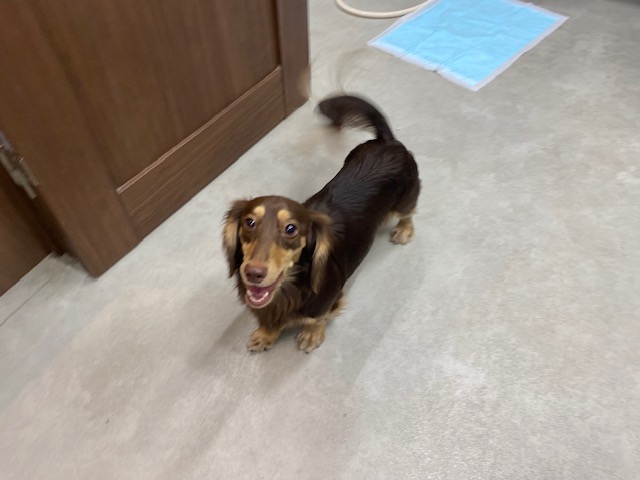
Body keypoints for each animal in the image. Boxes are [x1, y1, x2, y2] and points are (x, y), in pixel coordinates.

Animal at [223, 94, 420, 353]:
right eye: (249, 222)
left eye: (291, 229)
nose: (253, 273)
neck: (289, 287)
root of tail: (389, 142)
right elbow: (269, 319)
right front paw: (265, 335)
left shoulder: (326, 301)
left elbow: (316, 318)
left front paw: (311, 335)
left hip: (405, 198)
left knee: (409, 212)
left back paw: (404, 230)